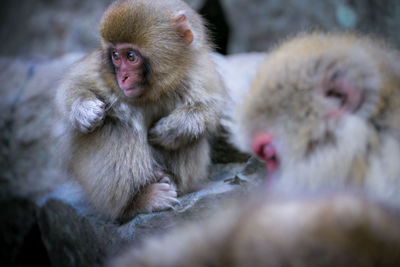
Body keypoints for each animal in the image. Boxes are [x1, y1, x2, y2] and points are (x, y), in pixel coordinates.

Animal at [54, 0, 227, 222]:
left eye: (131, 56)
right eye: (115, 56)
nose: (123, 77)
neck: (152, 90)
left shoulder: (199, 71)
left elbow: (212, 109)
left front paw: (171, 130)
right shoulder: (100, 69)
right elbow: (70, 87)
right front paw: (84, 110)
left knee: (189, 139)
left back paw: (168, 177)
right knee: (117, 130)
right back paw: (139, 201)